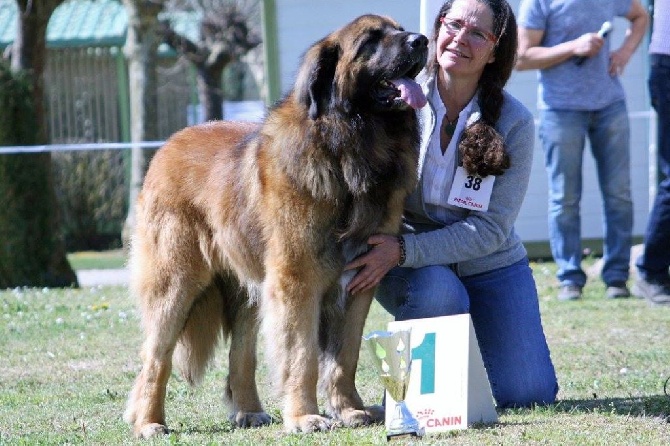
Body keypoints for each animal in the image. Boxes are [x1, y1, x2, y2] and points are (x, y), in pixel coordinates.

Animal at [123, 14, 428, 440]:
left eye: (398, 29)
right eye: (370, 40)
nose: (422, 40)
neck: (349, 149)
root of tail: (167, 146)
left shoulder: (357, 282)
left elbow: (345, 355)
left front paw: (349, 410)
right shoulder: (297, 282)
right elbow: (302, 355)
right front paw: (304, 417)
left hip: (248, 285)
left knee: (241, 353)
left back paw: (248, 410)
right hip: (176, 282)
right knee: (156, 356)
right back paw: (148, 421)